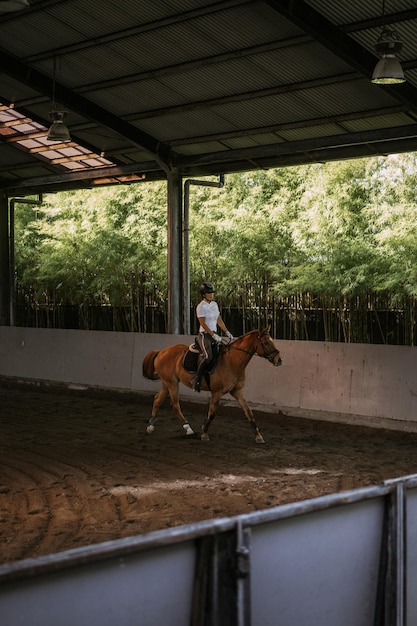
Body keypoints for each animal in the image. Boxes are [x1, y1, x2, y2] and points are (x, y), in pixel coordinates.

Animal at [141, 324, 282, 442]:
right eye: (265, 342)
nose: (279, 360)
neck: (231, 362)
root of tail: (161, 352)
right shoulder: (217, 392)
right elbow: (212, 413)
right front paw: (204, 433)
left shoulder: (238, 391)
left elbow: (249, 412)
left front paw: (258, 436)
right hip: (172, 383)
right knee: (175, 404)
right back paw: (188, 428)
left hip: (167, 382)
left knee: (157, 399)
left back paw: (151, 426)